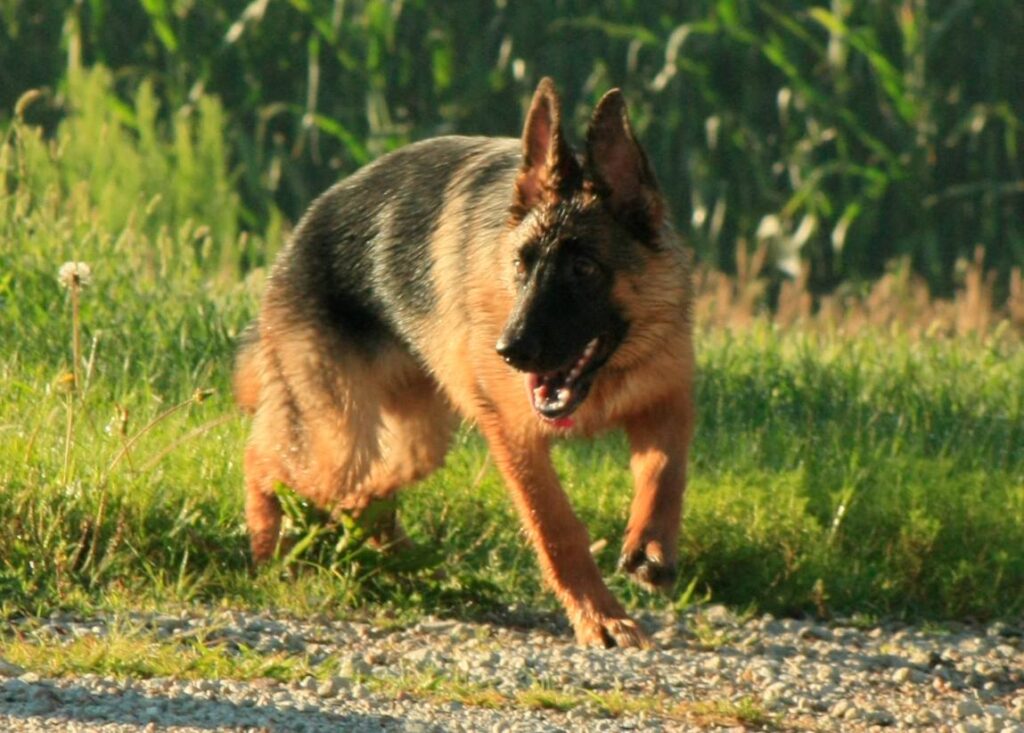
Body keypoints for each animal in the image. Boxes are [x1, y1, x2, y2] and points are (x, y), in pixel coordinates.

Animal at [233, 75, 696, 647]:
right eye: (520, 265)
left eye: (584, 269)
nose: (510, 351)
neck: (605, 376)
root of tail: (299, 235)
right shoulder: (515, 436)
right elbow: (556, 527)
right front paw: (600, 617)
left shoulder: (667, 395)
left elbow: (665, 472)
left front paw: (651, 544)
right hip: (338, 441)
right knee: (264, 458)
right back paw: (268, 550)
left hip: (415, 444)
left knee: (363, 498)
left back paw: (406, 566)